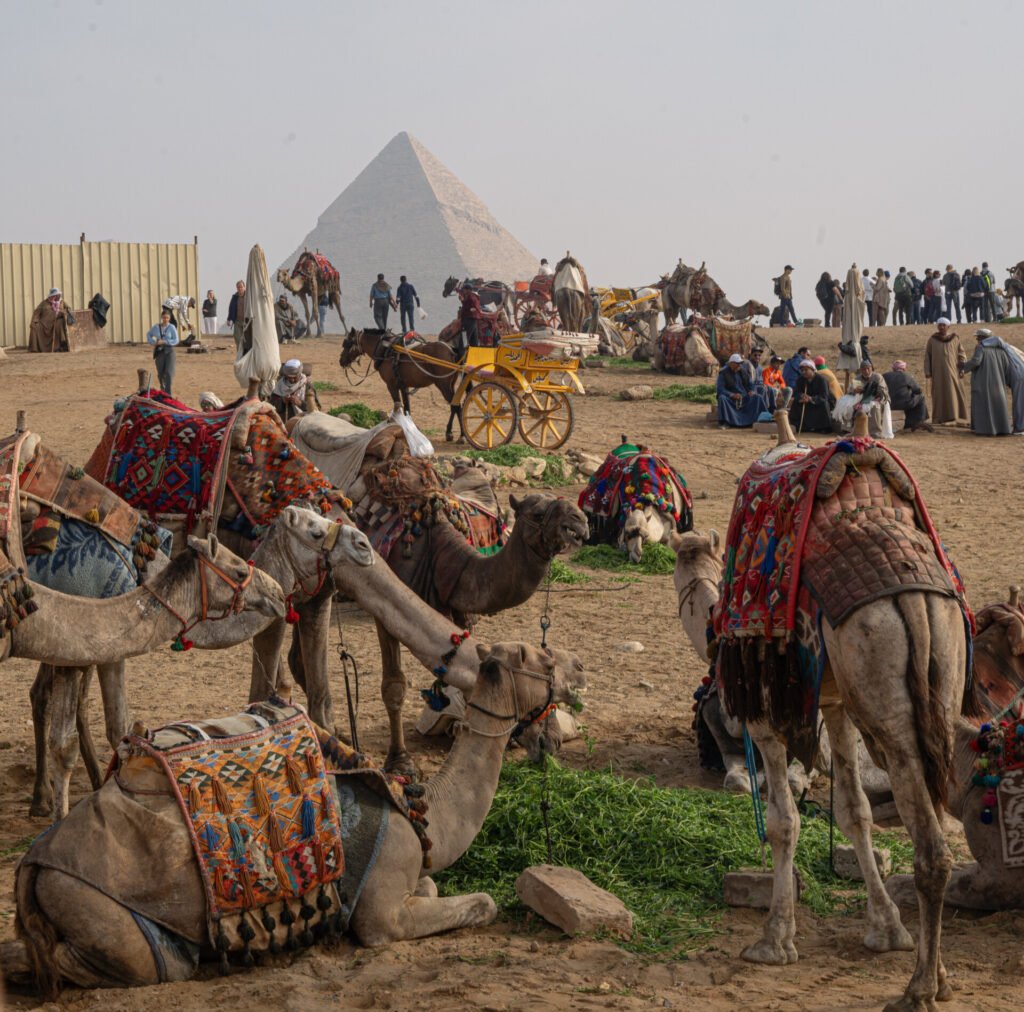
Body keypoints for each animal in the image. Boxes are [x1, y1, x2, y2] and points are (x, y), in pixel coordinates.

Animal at [4, 639, 585, 995]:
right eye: (542, 657)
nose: (578, 669)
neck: (422, 813)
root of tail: (32, 862)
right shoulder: (382, 915)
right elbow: (481, 902)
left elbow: (434, 887)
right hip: (105, 914)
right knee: (104, 962)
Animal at [337, 327, 466, 442]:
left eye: (347, 344)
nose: (341, 361)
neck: (385, 350)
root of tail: (451, 350)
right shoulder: (404, 386)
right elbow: (407, 408)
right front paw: (411, 428)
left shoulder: (391, 385)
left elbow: (397, 406)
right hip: (450, 384)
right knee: (454, 406)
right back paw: (450, 433)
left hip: (443, 384)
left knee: (456, 406)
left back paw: (462, 436)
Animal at [708, 407, 970, 1007]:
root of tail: (912, 599)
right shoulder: (835, 700)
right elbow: (854, 810)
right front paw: (886, 928)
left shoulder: (764, 706)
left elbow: (783, 821)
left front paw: (774, 940)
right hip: (938, 687)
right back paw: (939, 974)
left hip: (889, 709)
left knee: (931, 847)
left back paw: (919, 987)